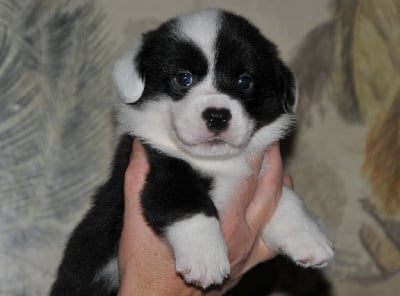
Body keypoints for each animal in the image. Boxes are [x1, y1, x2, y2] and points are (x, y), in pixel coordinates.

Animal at [50, 8, 334, 294]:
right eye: (183, 77)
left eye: (245, 81)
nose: (217, 116)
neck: (218, 163)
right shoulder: (159, 169)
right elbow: (190, 204)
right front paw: (205, 258)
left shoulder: (261, 170)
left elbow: (285, 196)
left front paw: (308, 236)